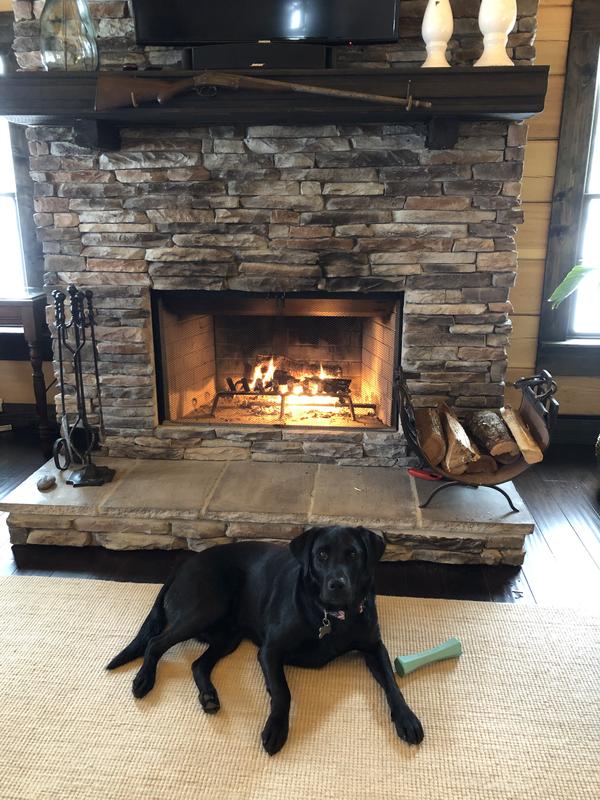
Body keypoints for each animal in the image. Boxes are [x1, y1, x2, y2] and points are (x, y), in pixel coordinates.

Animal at [107, 525, 424, 755]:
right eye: (321, 555)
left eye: (353, 554)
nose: (337, 584)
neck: (333, 617)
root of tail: (180, 568)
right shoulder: (270, 651)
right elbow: (283, 692)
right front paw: (276, 729)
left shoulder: (374, 647)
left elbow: (393, 684)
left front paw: (407, 718)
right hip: (206, 607)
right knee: (156, 642)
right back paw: (143, 680)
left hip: (229, 637)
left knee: (198, 664)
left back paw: (209, 696)